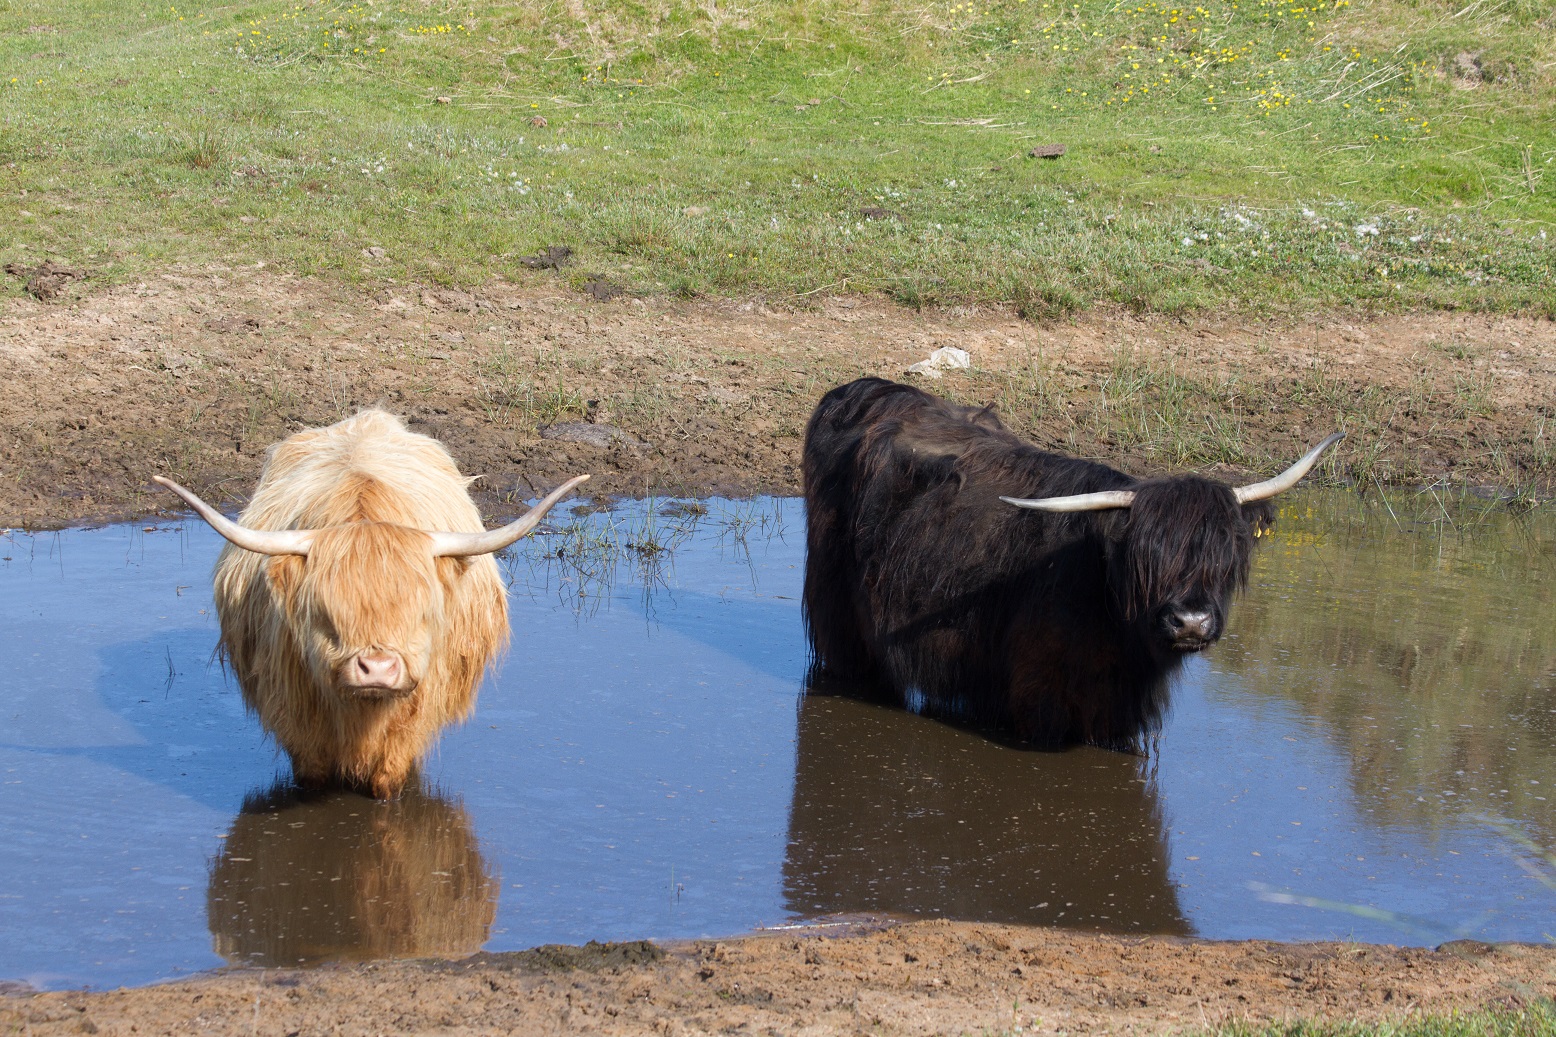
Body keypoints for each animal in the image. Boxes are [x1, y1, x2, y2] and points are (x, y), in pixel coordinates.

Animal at [156, 409, 588, 798]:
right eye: (324, 614)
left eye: (421, 615)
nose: (377, 669)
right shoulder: (298, 724)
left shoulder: (411, 724)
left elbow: (388, 781)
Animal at [802, 377, 1341, 751]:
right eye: (1145, 558)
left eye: (1225, 553)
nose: (1191, 621)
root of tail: (862, 390)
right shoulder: (1039, 700)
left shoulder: (1114, 715)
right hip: (841, 621)